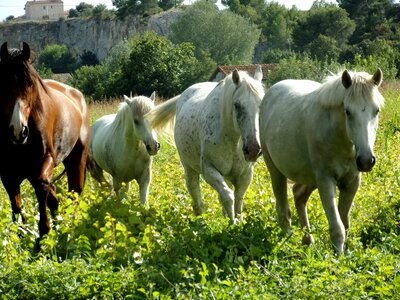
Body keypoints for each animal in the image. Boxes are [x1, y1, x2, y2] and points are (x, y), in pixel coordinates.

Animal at [0, 42, 90, 238]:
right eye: (3, 83)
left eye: (30, 83)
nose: (18, 131)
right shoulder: (9, 174)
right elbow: (17, 206)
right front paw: (21, 234)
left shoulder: (45, 159)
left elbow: (43, 188)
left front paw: (44, 232)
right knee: (53, 193)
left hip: (76, 161)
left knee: (74, 193)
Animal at [148, 68, 264, 223]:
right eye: (237, 105)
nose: (253, 150)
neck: (232, 138)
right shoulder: (209, 170)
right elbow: (228, 197)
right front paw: (231, 223)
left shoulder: (245, 175)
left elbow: (238, 201)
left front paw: (237, 222)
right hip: (190, 169)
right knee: (196, 195)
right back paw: (200, 221)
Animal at [260, 68, 384, 253]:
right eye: (348, 111)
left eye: (376, 111)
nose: (366, 160)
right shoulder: (326, 180)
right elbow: (337, 227)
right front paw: (338, 256)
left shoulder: (352, 182)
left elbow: (345, 223)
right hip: (276, 171)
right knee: (283, 210)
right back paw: (287, 244)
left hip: (310, 178)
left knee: (299, 195)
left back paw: (307, 240)